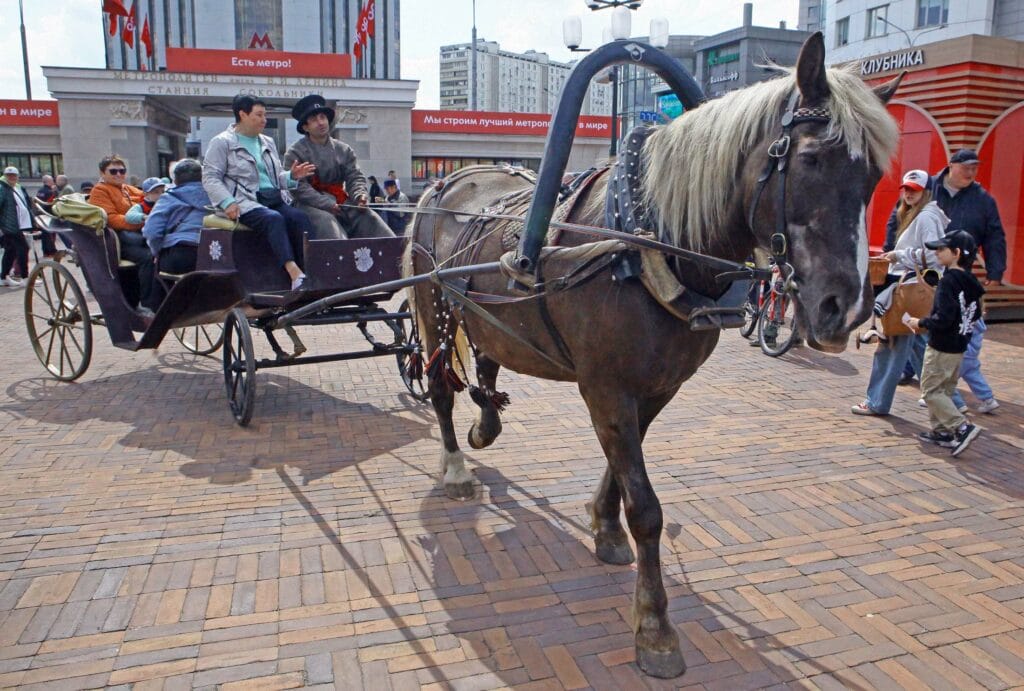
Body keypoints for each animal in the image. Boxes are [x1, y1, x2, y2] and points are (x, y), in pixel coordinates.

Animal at [403, 33, 902, 678]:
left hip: (482, 313)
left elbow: (622, 469)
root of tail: (450, 180)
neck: (643, 242)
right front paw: (655, 627)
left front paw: (604, 527)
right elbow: (646, 506)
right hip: (430, 302)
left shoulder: (657, 387)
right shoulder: (607, 388)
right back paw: (457, 465)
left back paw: (485, 425)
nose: (845, 307)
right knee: (441, 386)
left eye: (874, 176)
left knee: (487, 360)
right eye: (812, 159)